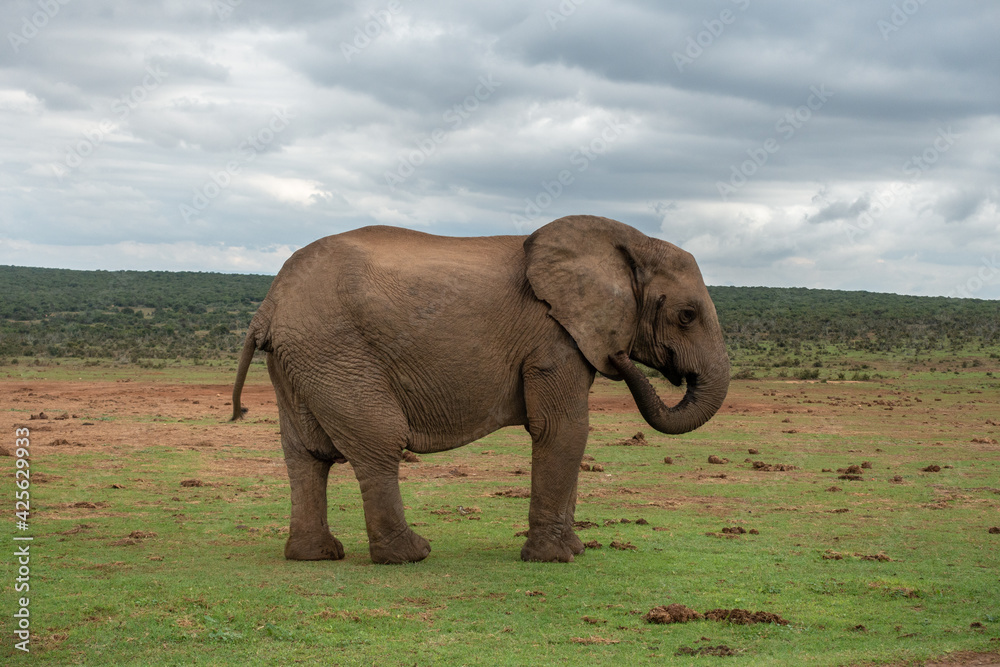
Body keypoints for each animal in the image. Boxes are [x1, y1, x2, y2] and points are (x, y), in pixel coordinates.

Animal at [231, 215, 729, 564]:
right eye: (686, 315)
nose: (622, 357)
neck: (628, 244)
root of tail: (269, 304)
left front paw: (574, 550)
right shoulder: (553, 336)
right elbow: (563, 429)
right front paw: (556, 559)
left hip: (300, 359)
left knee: (306, 454)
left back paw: (315, 555)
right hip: (336, 351)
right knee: (379, 442)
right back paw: (410, 555)